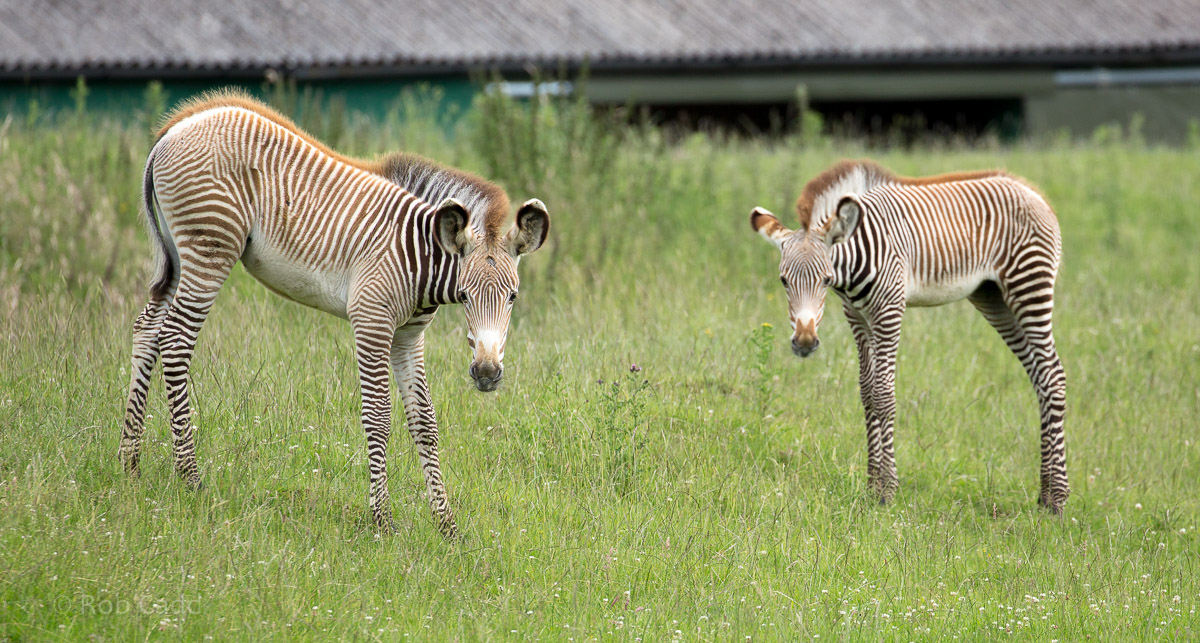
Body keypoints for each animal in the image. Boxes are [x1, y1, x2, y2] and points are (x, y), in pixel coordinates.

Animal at [120, 90, 549, 538]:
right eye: (464, 296)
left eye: (514, 297)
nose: (486, 373)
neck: (419, 254)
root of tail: (176, 127)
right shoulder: (372, 321)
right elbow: (379, 417)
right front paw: (383, 520)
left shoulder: (408, 336)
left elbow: (425, 422)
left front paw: (446, 526)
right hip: (209, 248)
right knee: (175, 341)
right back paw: (190, 477)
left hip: (179, 255)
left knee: (147, 329)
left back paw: (130, 465)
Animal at [749, 159, 1068, 513]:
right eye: (783, 281)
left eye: (825, 279)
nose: (804, 343)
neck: (857, 257)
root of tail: (1032, 192)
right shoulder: (857, 316)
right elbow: (867, 393)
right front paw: (871, 485)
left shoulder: (889, 311)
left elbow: (883, 395)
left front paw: (887, 490)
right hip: (993, 297)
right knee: (1040, 378)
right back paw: (1044, 495)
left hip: (1029, 286)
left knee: (1053, 375)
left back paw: (1058, 500)